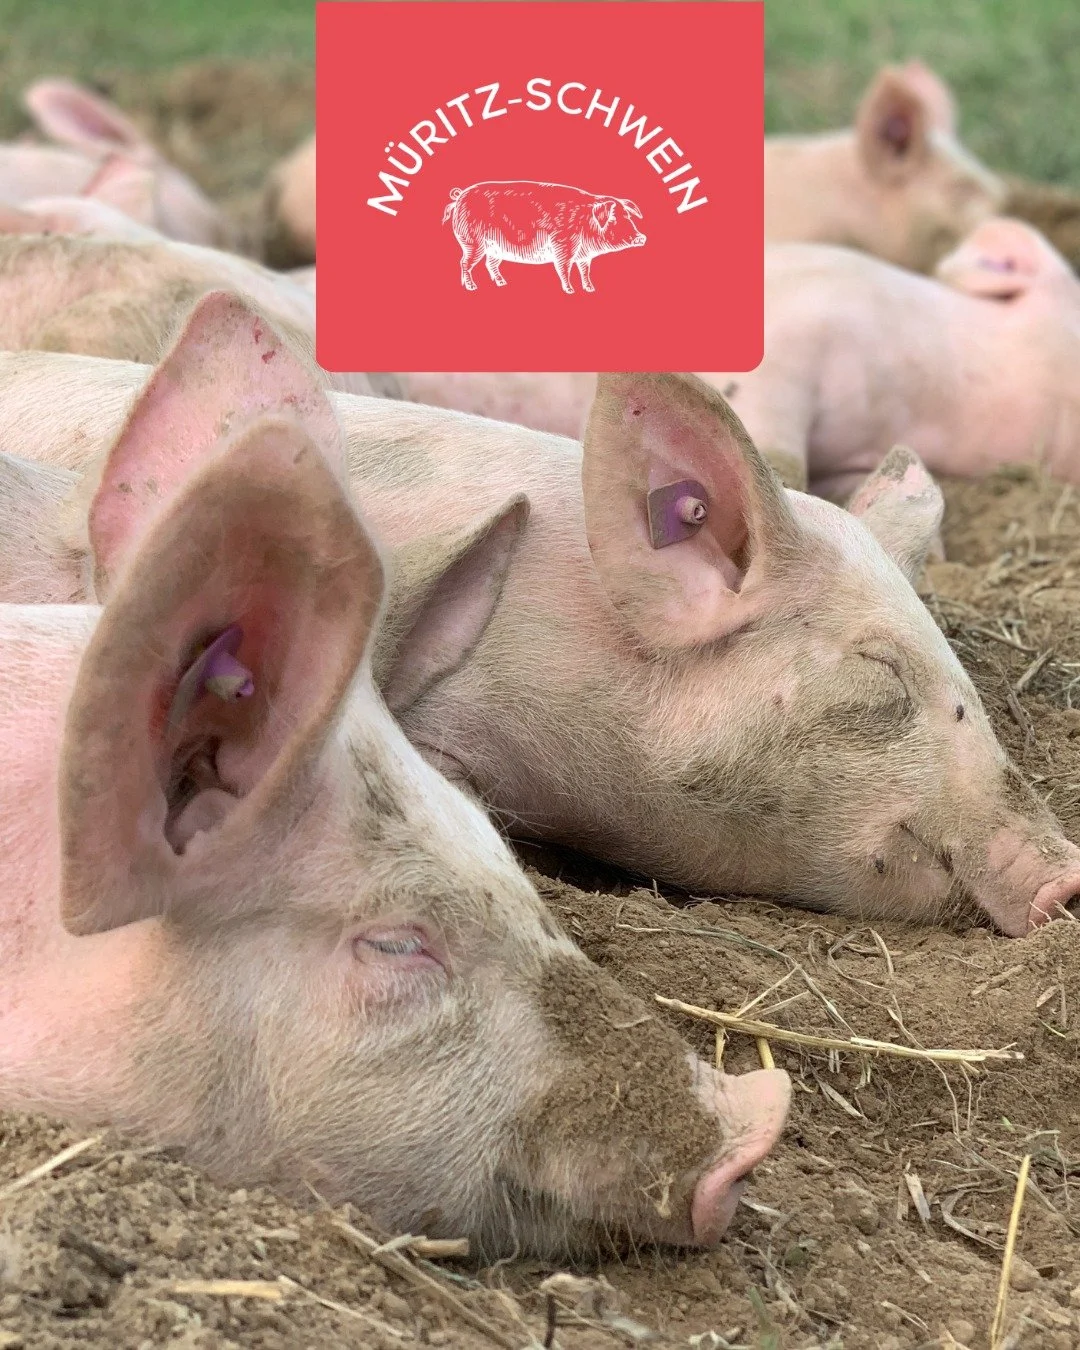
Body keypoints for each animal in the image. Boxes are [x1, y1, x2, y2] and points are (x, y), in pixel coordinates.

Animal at [443, 181, 646, 294]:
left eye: (628, 217)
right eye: (612, 219)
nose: (641, 237)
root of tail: (459, 196)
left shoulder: (584, 256)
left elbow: (584, 271)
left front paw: (590, 289)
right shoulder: (563, 248)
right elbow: (564, 269)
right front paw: (570, 291)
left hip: (494, 248)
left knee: (489, 264)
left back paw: (502, 283)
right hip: (472, 243)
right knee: (464, 263)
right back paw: (471, 287)